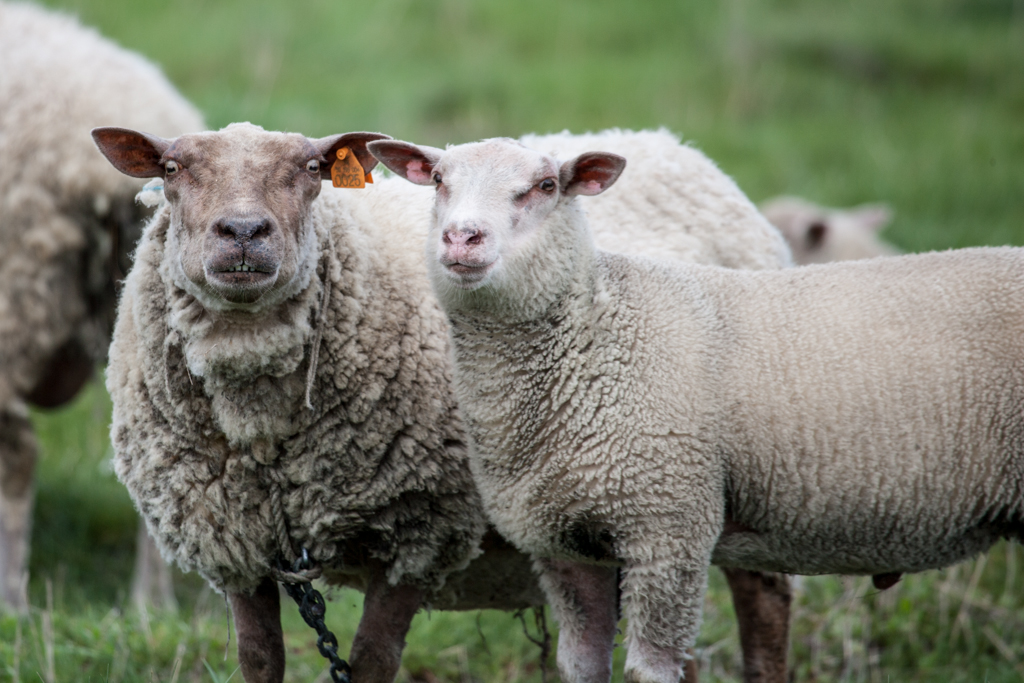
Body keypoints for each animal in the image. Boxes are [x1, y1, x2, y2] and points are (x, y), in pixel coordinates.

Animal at [92, 122, 794, 683]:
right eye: (172, 170)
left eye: (313, 169)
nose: (242, 232)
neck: (265, 437)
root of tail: (681, 150)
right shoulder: (234, 546)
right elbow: (259, 661)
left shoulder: (419, 532)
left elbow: (372, 662)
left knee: (766, 613)